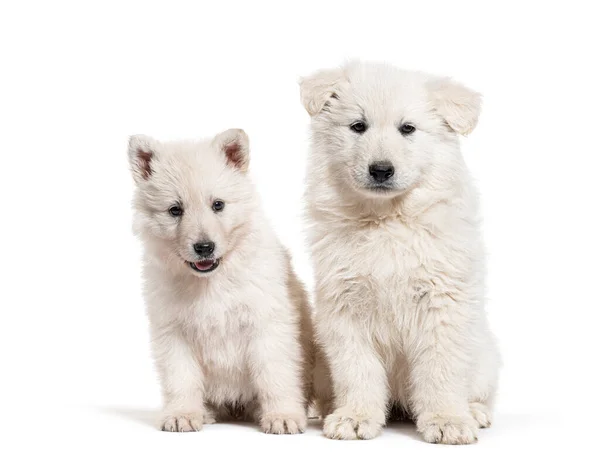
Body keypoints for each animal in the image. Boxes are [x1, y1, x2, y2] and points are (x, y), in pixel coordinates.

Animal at [127, 129, 314, 434]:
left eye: (218, 205)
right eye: (175, 210)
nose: (204, 247)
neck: (212, 279)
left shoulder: (267, 325)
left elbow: (275, 375)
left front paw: (283, 415)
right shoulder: (173, 332)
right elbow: (181, 379)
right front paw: (182, 413)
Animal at [300, 60, 502, 442]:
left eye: (407, 128)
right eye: (358, 126)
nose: (381, 170)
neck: (387, 220)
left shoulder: (441, 303)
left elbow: (440, 368)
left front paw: (447, 420)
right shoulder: (345, 307)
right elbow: (356, 369)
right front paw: (355, 417)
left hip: (484, 354)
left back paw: (473, 412)